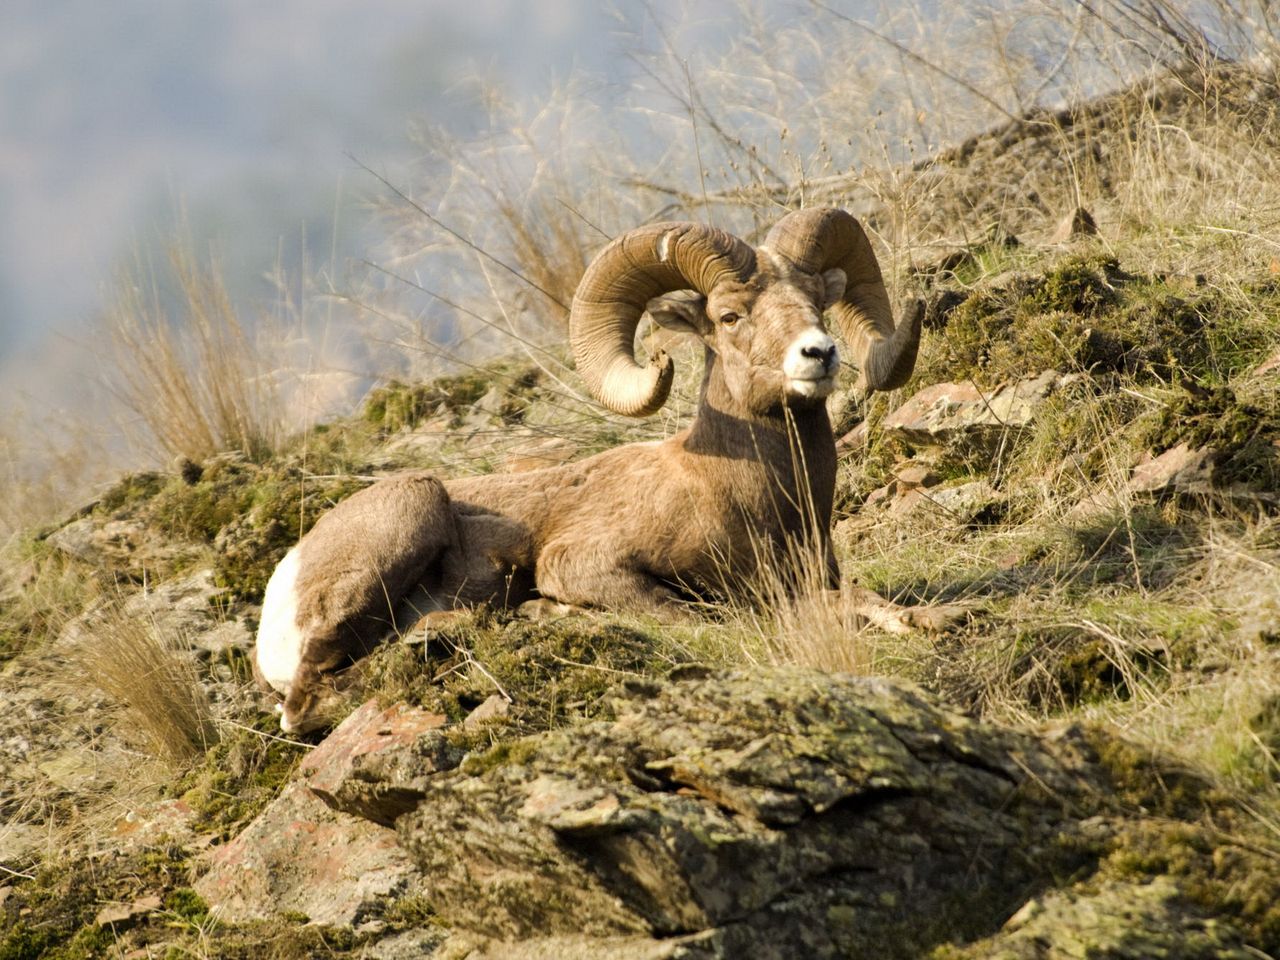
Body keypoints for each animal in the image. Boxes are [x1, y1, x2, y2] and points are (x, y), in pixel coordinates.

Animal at [256, 207, 931, 732]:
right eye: (731, 316)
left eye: (818, 301)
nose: (819, 353)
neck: (742, 497)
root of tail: (284, 582)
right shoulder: (585, 565)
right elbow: (699, 615)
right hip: (410, 513)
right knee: (307, 702)